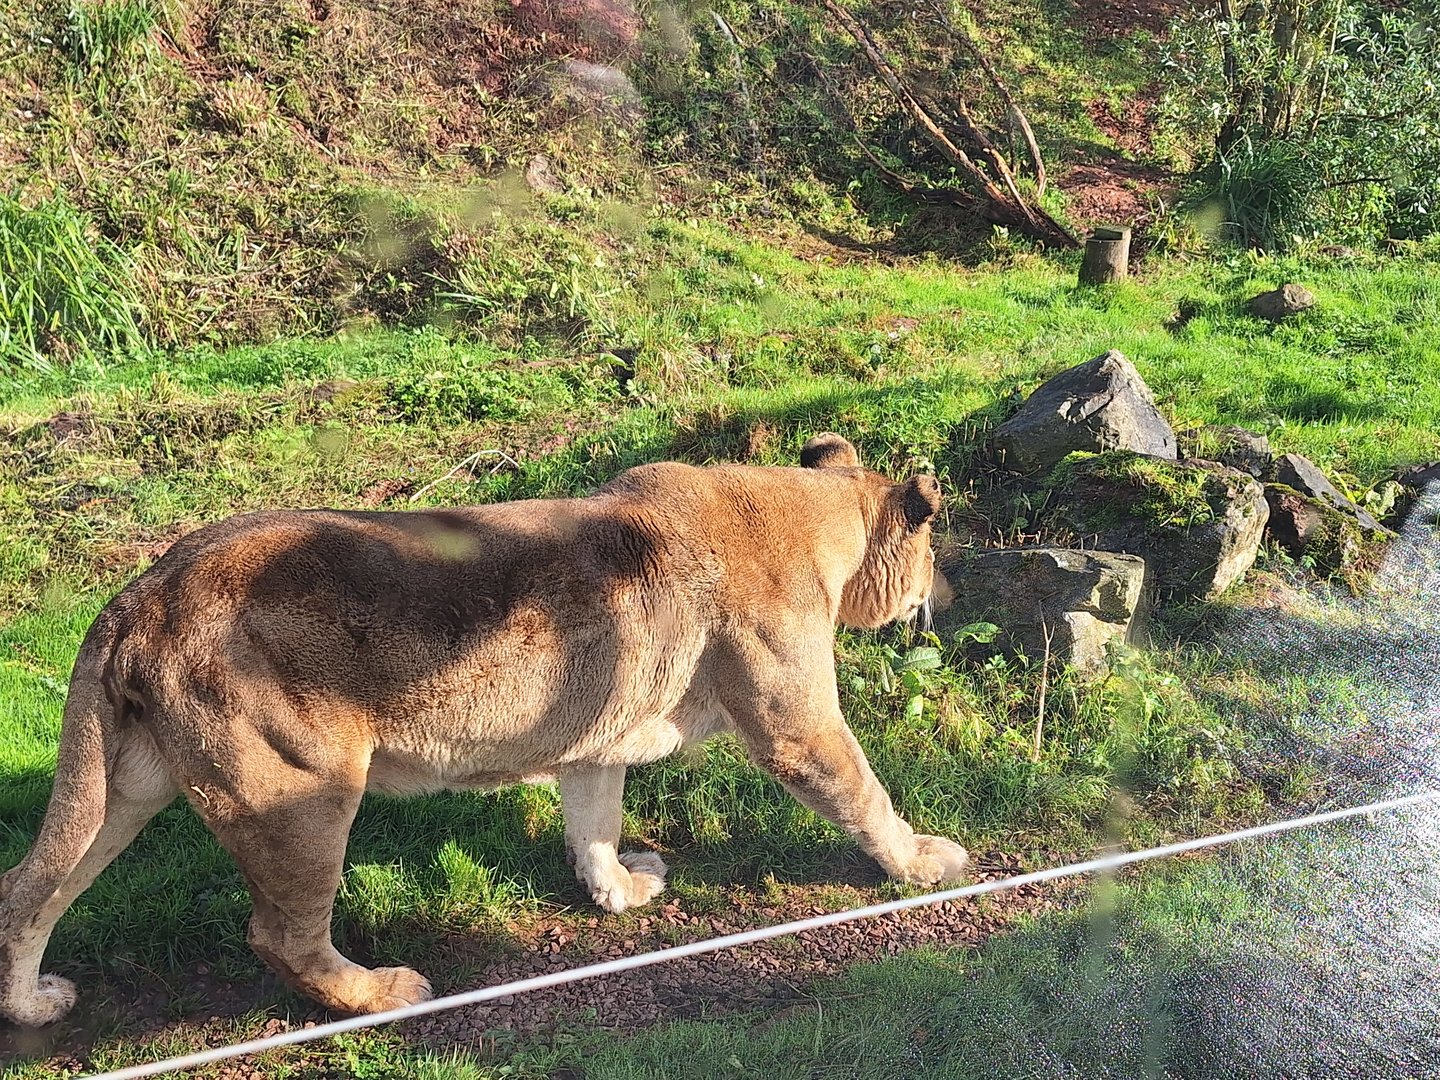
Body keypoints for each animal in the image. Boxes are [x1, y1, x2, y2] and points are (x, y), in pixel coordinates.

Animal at [0, 433, 968, 1027]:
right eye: (936, 554)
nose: (951, 598)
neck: (817, 514)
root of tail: (144, 591)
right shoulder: (794, 724)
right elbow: (862, 792)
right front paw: (923, 862)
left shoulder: (596, 730)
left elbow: (594, 822)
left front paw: (619, 891)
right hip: (298, 794)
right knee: (282, 935)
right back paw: (383, 992)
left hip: (124, 786)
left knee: (26, 890)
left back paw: (34, 1003)